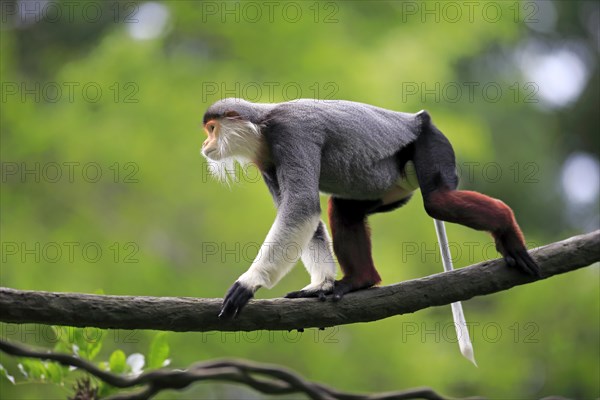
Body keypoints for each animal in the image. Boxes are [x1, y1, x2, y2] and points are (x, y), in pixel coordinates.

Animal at [200, 97, 540, 318]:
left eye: (212, 129)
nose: (204, 145)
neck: (263, 129)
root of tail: (420, 118)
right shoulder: (267, 163)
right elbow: (306, 216)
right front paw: (320, 283)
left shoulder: (292, 135)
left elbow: (301, 206)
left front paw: (249, 282)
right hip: (392, 185)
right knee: (345, 210)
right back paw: (360, 280)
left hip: (431, 141)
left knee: (437, 201)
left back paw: (506, 228)